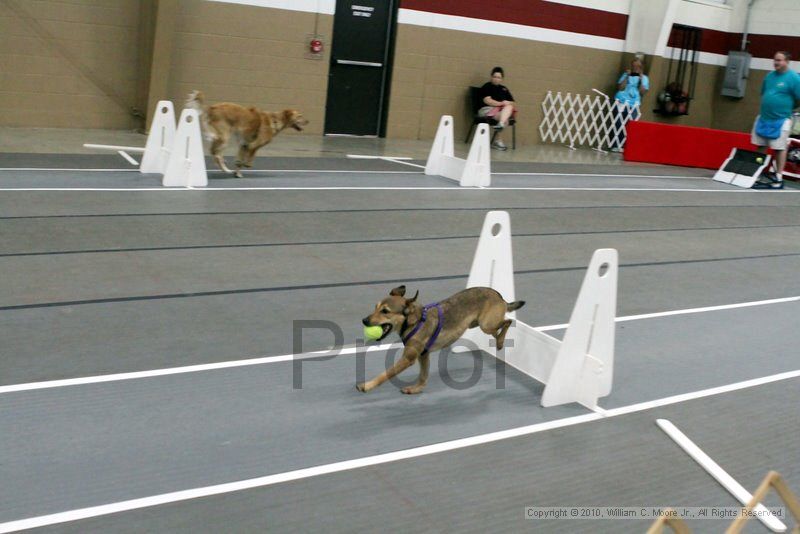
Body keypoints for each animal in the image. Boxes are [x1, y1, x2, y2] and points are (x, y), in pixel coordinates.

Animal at [358, 286, 524, 396]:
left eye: (385, 311)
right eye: (375, 307)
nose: (364, 320)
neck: (414, 322)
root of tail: (499, 296)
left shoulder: (408, 359)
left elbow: (385, 374)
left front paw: (367, 385)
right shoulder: (423, 355)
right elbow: (423, 376)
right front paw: (416, 389)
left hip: (486, 324)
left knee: (508, 321)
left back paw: (501, 342)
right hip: (480, 324)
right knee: (500, 328)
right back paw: (499, 341)